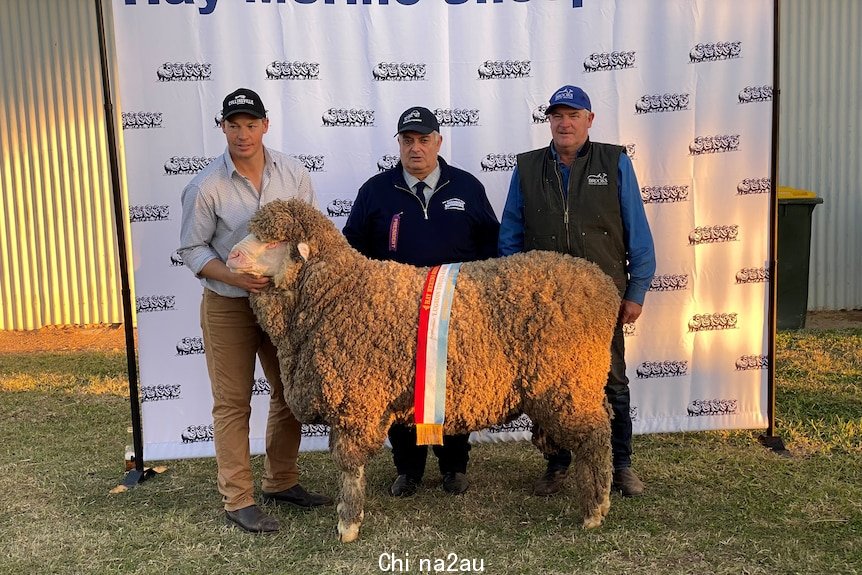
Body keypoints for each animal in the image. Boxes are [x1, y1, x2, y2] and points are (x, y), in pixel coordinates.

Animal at [228, 199, 620, 544]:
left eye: (274, 241)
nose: (231, 256)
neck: (336, 293)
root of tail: (603, 285)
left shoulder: (355, 403)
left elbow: (349, 467)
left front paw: (348, 525)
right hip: (579, 384)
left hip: (569, 383)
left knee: (596, 437)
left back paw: (595, 510)